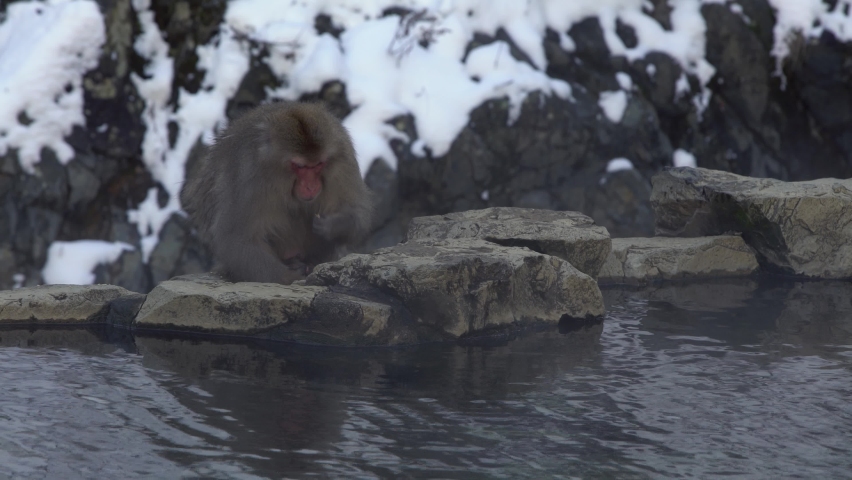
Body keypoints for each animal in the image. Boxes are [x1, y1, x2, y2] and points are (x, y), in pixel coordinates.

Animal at [180, 102, 372, 284]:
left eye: (318, 165)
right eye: (300, 166)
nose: (311, 186)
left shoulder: (343, 164)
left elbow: (358, 215)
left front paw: (332, 225)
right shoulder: (248, 177)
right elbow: (236, 238)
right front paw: (289, 277)